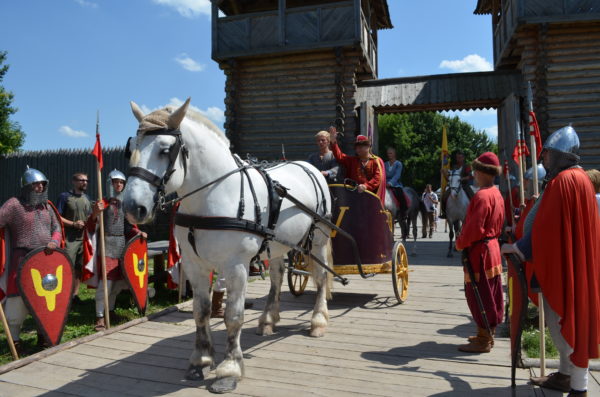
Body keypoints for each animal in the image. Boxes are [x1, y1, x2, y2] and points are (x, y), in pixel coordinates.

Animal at [121, 99, 332, 392]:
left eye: (165, 150)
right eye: (131, 148)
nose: (133, 207)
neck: (213, 195)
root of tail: (309, 167)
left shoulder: (236, 267)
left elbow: (233, 316)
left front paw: (229, 368)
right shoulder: (194, 266)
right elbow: (201, 312)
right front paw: (200, 360)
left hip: (318, 239)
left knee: (320, 276)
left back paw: (317, 320)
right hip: (278, 245)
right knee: (277, 276)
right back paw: (268, 319)